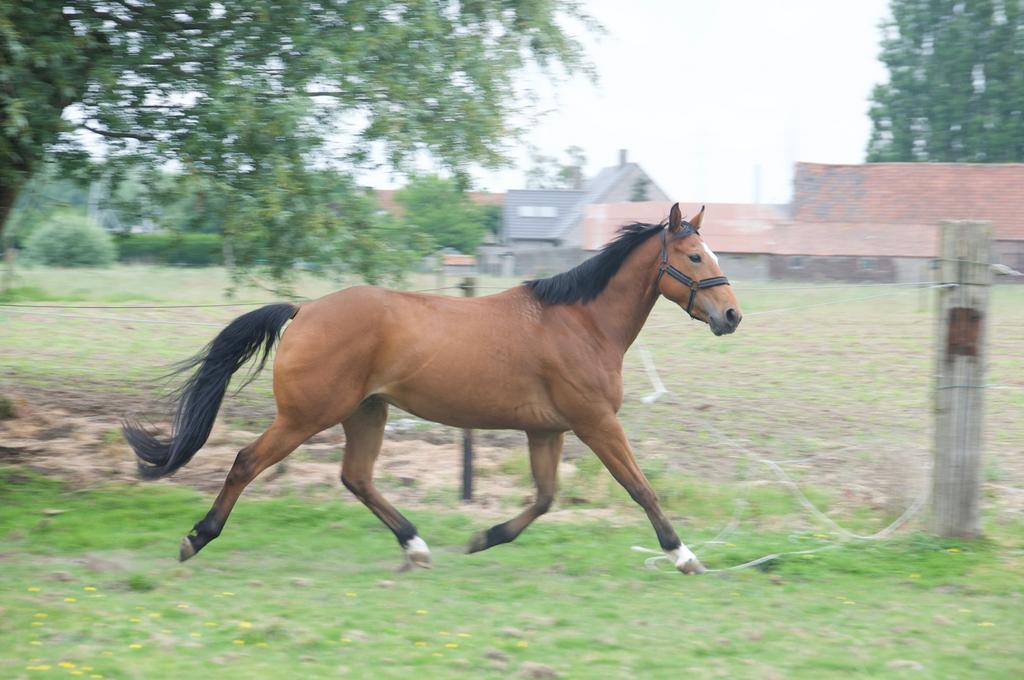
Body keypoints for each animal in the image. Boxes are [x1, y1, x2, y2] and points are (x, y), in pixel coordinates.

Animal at [124, 203, 742, 575]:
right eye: (694, 256)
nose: (732, 316)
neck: (580, 322)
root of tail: (304, 310)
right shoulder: (596, 423)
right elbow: (641, 489)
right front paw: (684, 556)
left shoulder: (546, 430)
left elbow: (544, 498)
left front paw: (483, 537)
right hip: (306, 416)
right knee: (246, 463)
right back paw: (197, 537)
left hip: (366, 413)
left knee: (356, 478)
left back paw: (416, 547)